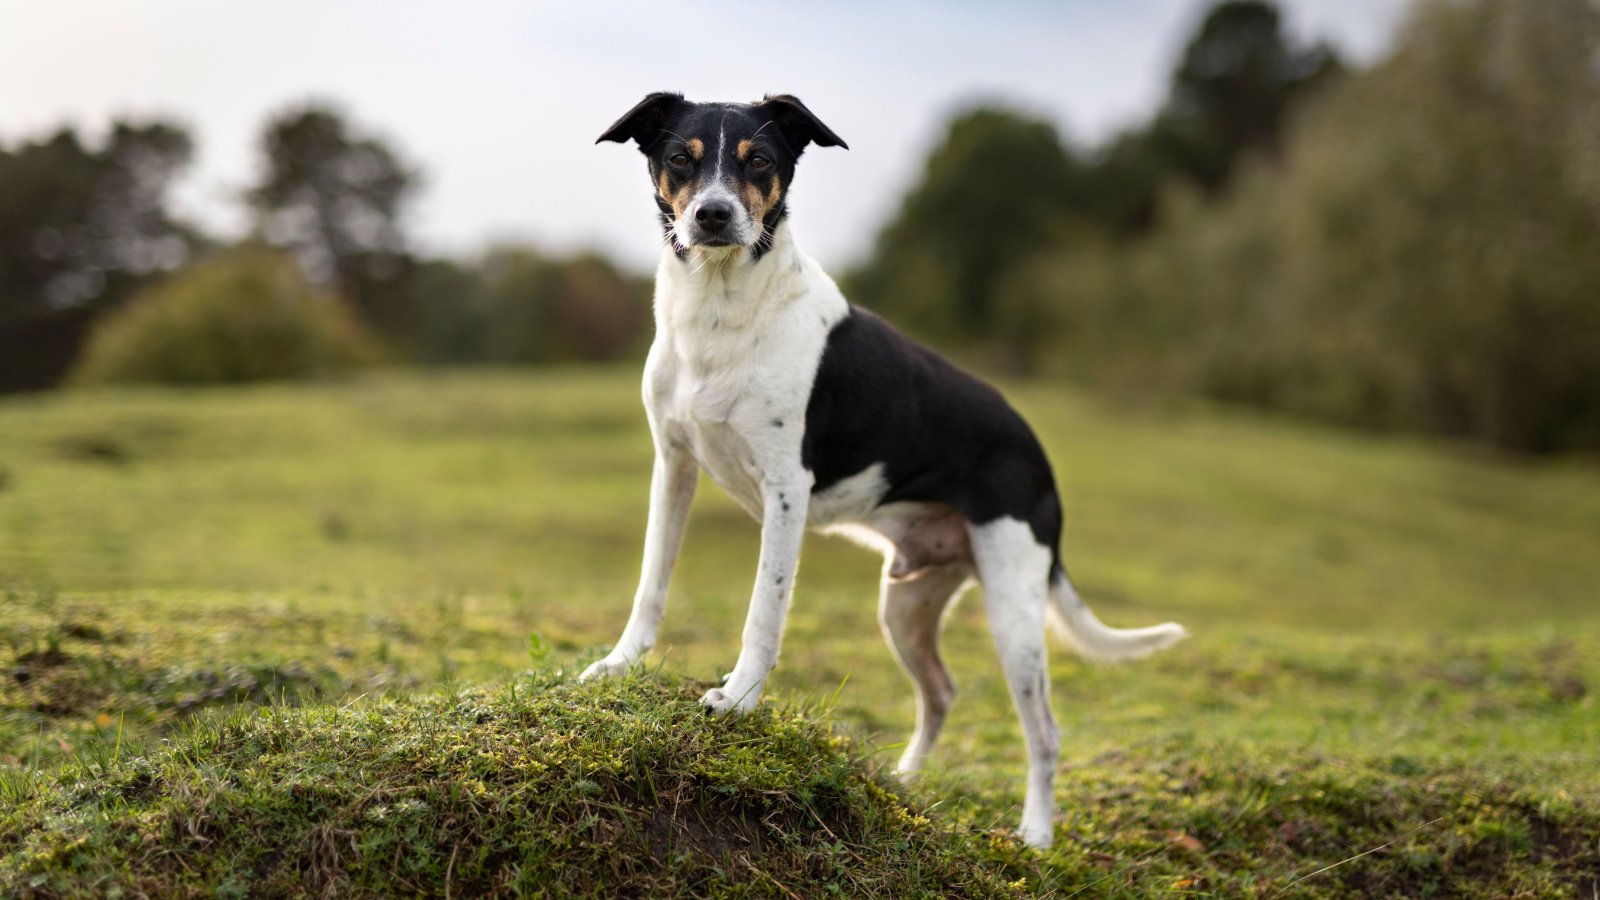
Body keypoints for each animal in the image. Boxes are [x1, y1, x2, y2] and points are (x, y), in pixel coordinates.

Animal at [582, 92, 1184, 845]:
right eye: (678, 159)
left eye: (760, 161)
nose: (713, 215)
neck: (719, 313)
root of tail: (1038, 456)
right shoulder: (674, 467)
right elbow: (651, 586)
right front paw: (619, 666)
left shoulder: (787, 493)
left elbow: (764, 613)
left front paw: (740, 699)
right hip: (906, 605)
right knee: (942, 692)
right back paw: (904, 782)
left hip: (1014, 609)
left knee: (1044, 731)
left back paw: (1036, 838)